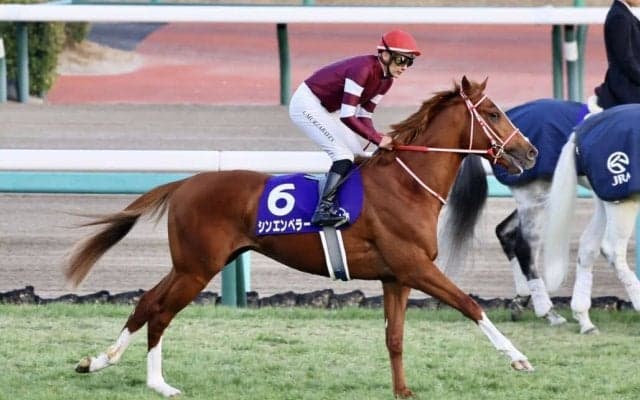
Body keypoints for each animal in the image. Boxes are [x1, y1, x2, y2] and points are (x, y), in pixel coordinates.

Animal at [64, 77, 538, 398]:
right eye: (493, 113)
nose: (530, 152)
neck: (407, 184)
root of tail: (184, 184)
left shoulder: (395, 278)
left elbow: (395, 338)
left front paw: (402, 390)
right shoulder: (416, 267)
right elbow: (470, 305)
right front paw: (519, 358)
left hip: (189, 264)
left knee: (146, 302)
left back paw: (98, 361)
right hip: (197, 268)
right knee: (161, 313)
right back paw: (159, 384)